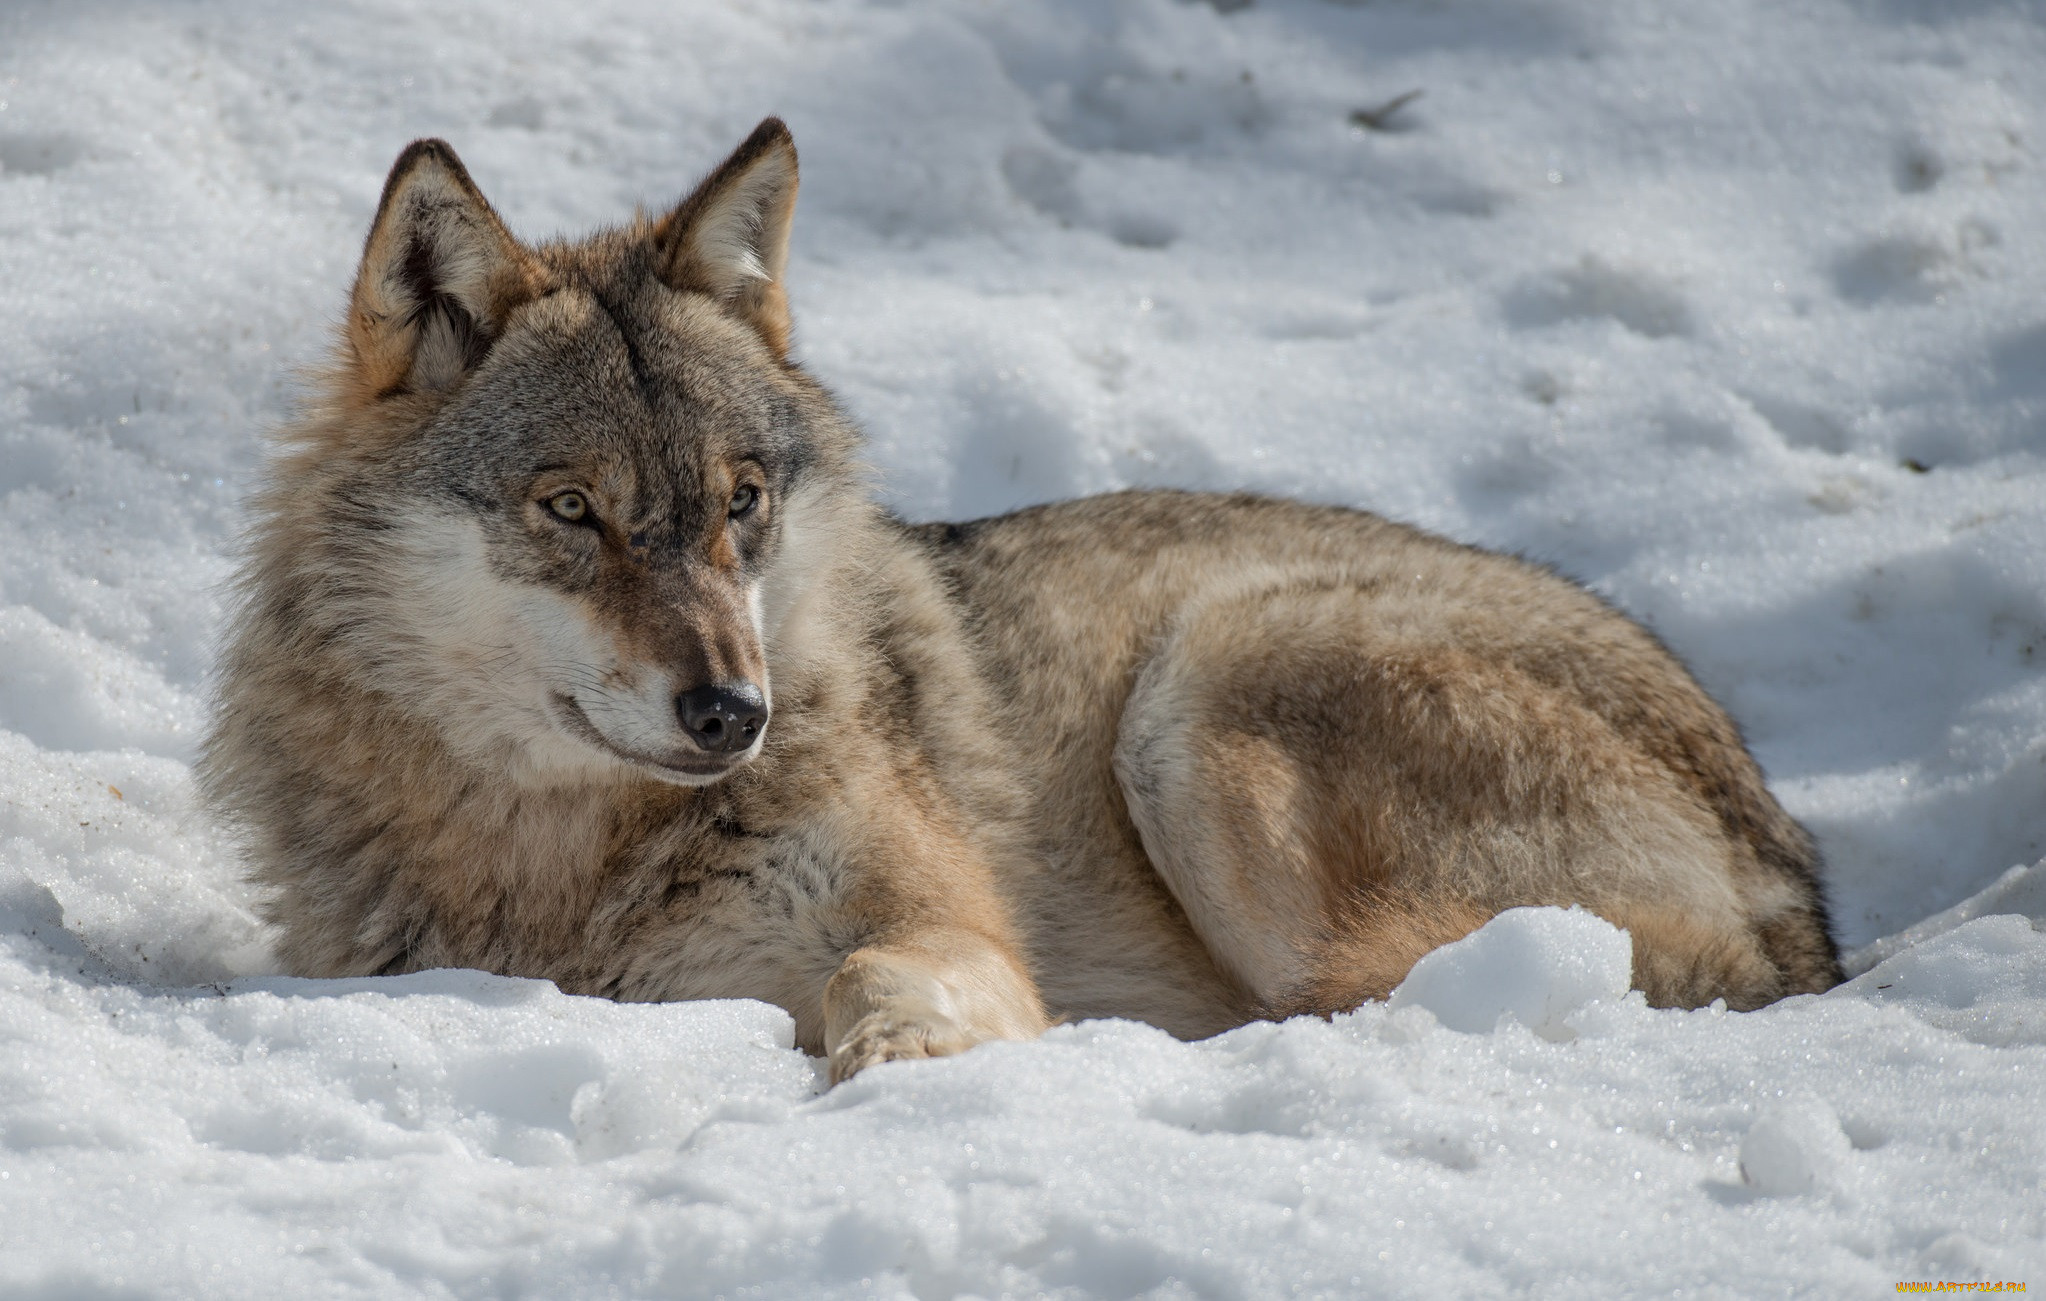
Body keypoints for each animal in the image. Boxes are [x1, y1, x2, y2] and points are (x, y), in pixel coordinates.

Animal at [199, 119, 1849, 1080]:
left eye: (740, 502)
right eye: (572, 511)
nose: (734, 711)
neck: (568, 864)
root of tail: (1801, 898)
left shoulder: (942, 918)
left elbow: (882, 966)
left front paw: (902, 1060)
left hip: (1204, 690)